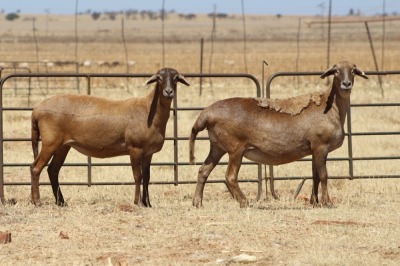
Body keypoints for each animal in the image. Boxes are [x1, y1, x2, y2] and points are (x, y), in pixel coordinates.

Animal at [29, 67, 189, 207]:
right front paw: (137, 203)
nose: (168, 92)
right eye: (159, 78)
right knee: (36, 168)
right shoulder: (135, 148)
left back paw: (61, 202)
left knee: (52, 170)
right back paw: (37, 202)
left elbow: (147, 177)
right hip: (50, 142)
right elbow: (138, 176)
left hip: (63, 145)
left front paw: (148, 204)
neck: (149, 110)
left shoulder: (148, 153)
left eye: (175, 78)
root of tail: (36, 110)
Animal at [189, 61, 368, 208]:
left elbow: (315, 175)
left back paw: (197, 202)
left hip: (217, 146)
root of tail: (205, 114)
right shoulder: (320, 146)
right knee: (230, 176)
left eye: (353, 70)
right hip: (235, 147)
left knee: (203, 171)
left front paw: (314, 202)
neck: (331, 107)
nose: (346, 84)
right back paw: (245, 202)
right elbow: (324, 175)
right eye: (336, 71)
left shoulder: (314, 149)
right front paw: (327, 202)